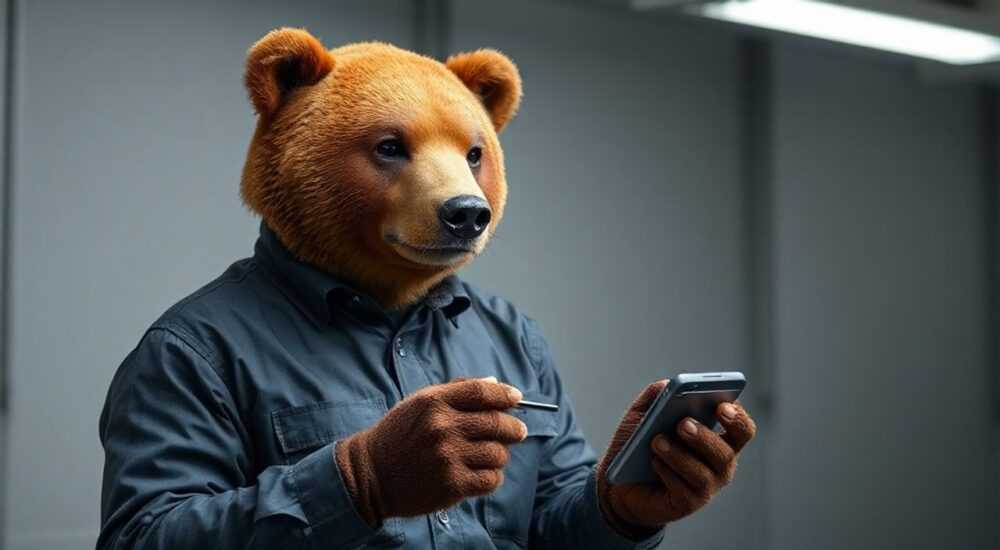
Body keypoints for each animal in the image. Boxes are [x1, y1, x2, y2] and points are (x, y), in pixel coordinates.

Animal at [96, 27, 756, 550]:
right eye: (390, 145)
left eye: (474, 152)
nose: (466, 212)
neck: (390, 298)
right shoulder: (178, 358)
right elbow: (162, 511)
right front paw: (413, 450)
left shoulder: (530, 342)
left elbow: (555, 492)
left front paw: (647, 481)